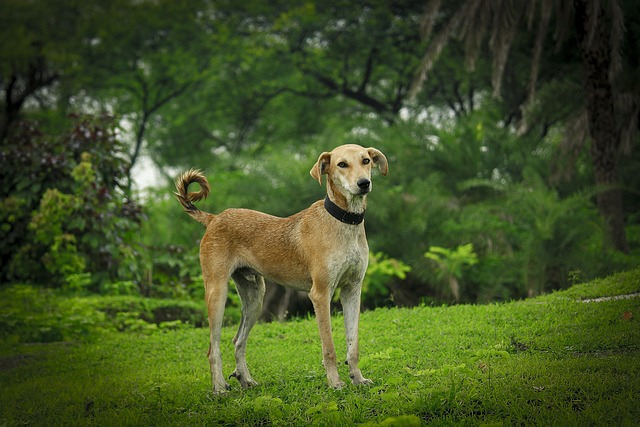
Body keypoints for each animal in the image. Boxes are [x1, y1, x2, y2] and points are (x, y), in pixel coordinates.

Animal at [172, 144, 388, 394]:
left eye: (365, 161)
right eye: (342, 164)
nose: (364, 183)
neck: (343, 221)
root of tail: (214, 218)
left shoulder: (352, 291)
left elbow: (353, 346)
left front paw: (358, 378)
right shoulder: (320, 295)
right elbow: (329, 348)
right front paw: (335, 382)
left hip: (255, 298)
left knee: (238, 341)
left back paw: (245, 380)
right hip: (217, 293)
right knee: (213, 348)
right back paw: (219, 388)